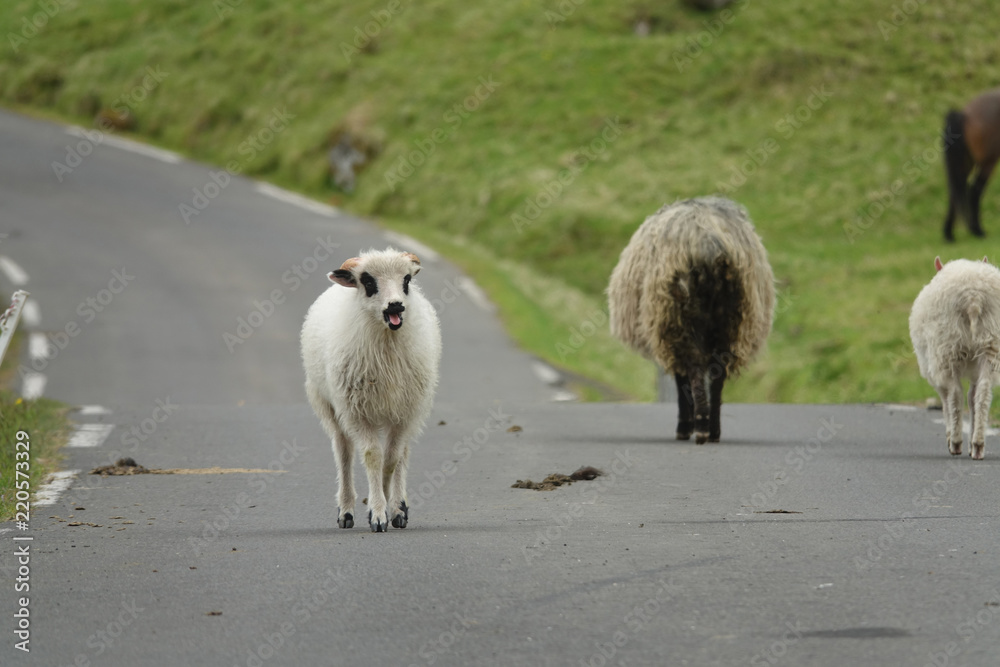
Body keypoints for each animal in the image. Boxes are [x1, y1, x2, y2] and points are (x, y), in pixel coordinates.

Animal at [300, 247, 442, 532]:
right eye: (367, 281)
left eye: (406, 280)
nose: (396, 305)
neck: (387, 341)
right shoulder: (357, 412)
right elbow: (373, 456)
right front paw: (377, 512)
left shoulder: (405, 412)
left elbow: (392, 459)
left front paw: (391, 506)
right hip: (331, 406)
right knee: (343, 452)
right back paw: (345, 512)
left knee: (402, 453)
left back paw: (399, 508)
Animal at [604, 196, 776, 444]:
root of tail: (710, 244)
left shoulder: (667, 330)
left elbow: (681, 381)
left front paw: (685, 426)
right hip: (731, 320)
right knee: (717, 374)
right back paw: (713, 430)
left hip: (679, 317)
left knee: (693, 371)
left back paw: (700, 425)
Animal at [908, 256, 1000, 460]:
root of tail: (973, 298)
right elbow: (972, 397)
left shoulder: (935, 370)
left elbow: (946, 399)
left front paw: (950, 436)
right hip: (991, 343)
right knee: (983, 393)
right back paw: (978, 444)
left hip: (946, 347)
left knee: (955, 394)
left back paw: (956, 442)